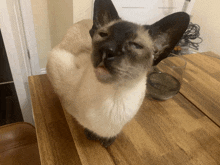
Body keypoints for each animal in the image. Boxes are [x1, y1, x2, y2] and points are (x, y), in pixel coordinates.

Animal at [46, 0, 189, 147]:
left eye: (135, 45)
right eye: (103, 35)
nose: (107, 50)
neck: (115, 96)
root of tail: (83, 20)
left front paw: (108, 139)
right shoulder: (58, 62)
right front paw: (90, 132)